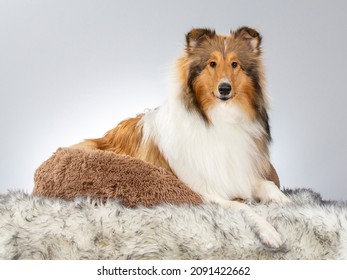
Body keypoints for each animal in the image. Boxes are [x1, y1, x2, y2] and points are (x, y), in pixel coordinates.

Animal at [72, 26, 290, 249]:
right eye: (212, 63)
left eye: (235, 64)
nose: (224, 88)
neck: (218, 118)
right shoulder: (205, 192)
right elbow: (245, 207)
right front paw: (269, 231)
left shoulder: (240, 173)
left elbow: (268, 185)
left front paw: (286, 202)